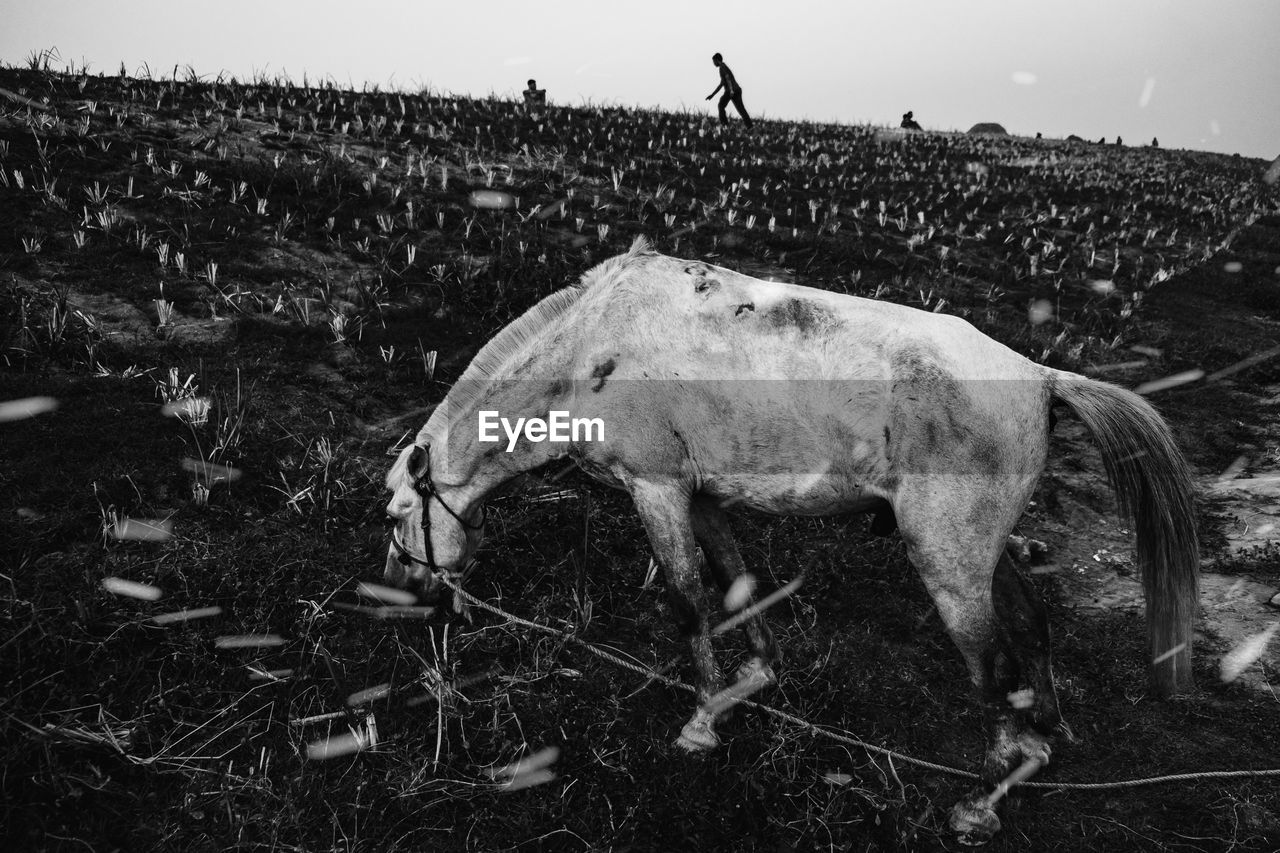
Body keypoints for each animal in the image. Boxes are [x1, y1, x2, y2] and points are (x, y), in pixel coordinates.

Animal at [381, 235, 1198, 840]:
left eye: (395, 516)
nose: (408, 594)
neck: (585, 349)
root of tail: (1040, 377)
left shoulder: (657, 490)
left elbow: (687, 601)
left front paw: (702, 721)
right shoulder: (703, 496)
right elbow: (735, 585)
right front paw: (754, 677)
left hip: (949, 563)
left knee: (991, 663)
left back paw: (984, 798)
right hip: (980, 551)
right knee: (1030, 618)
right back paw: (1042, 735)